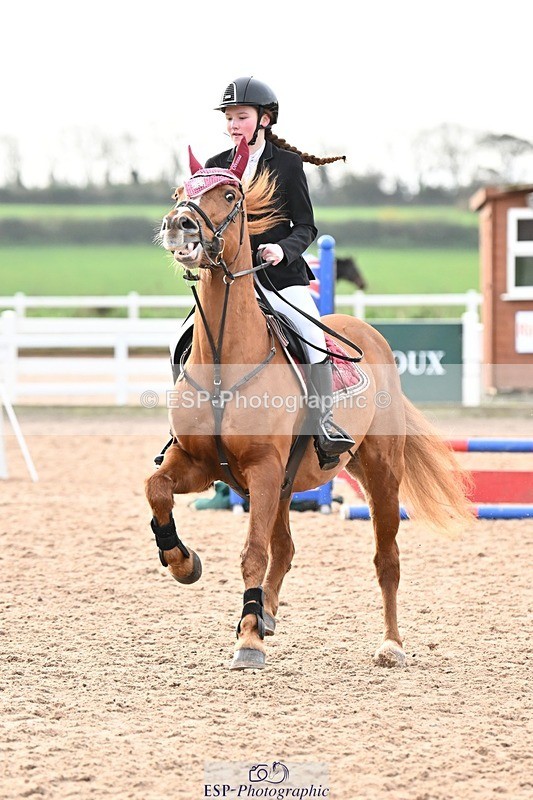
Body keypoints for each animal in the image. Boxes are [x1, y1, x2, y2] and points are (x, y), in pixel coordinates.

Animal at [145, 137, 474, 671]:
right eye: (179, 193)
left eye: (230, 195)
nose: (180, 225)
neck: (225, 358)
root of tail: (368, 333)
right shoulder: (199, 461)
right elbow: (156, 489)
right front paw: (183, 562)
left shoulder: (261, 468)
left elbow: (252, 553)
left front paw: (248, 643)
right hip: (284, 483)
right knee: (286, 547)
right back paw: (265, 614)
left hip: (378, 471)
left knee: (385, 559)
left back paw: (390, 645)